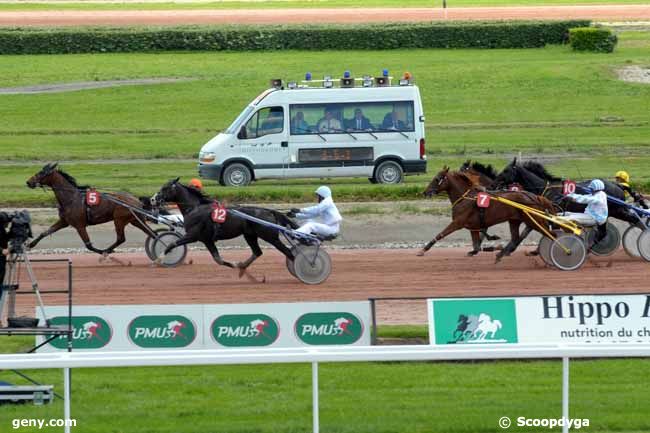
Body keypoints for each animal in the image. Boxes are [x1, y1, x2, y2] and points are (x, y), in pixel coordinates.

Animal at [420, 165, 552, 260]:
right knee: (517, 237)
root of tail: (534, 197)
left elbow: (441, 234)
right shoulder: (473, 226)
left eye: (437, 179)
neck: (465, 198)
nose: (425, 192)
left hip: (532, 219)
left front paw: (423, 250)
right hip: (516, 220)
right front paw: (493, 245)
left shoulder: (458, 223)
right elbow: (476, 247)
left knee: (547, 232)